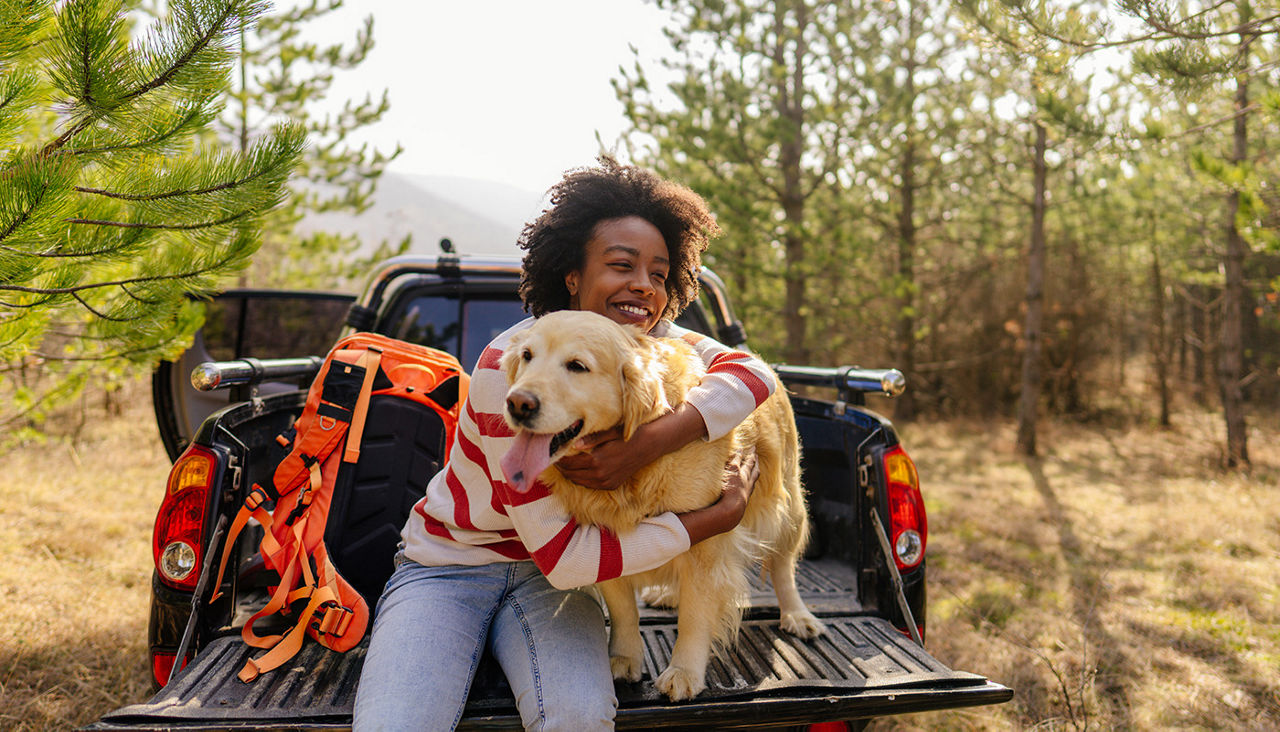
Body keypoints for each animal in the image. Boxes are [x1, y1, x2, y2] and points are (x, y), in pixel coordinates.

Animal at [499, 307, 819, 696]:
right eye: (527, 356)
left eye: (577, 366)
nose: (517, 403)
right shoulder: (604, 540)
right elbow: (623, 609)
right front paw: (624, 658)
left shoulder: (707, 546)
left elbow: (696, 615)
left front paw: (684, 671)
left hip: (788, 507)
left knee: (783, 566)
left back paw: (797, 615)